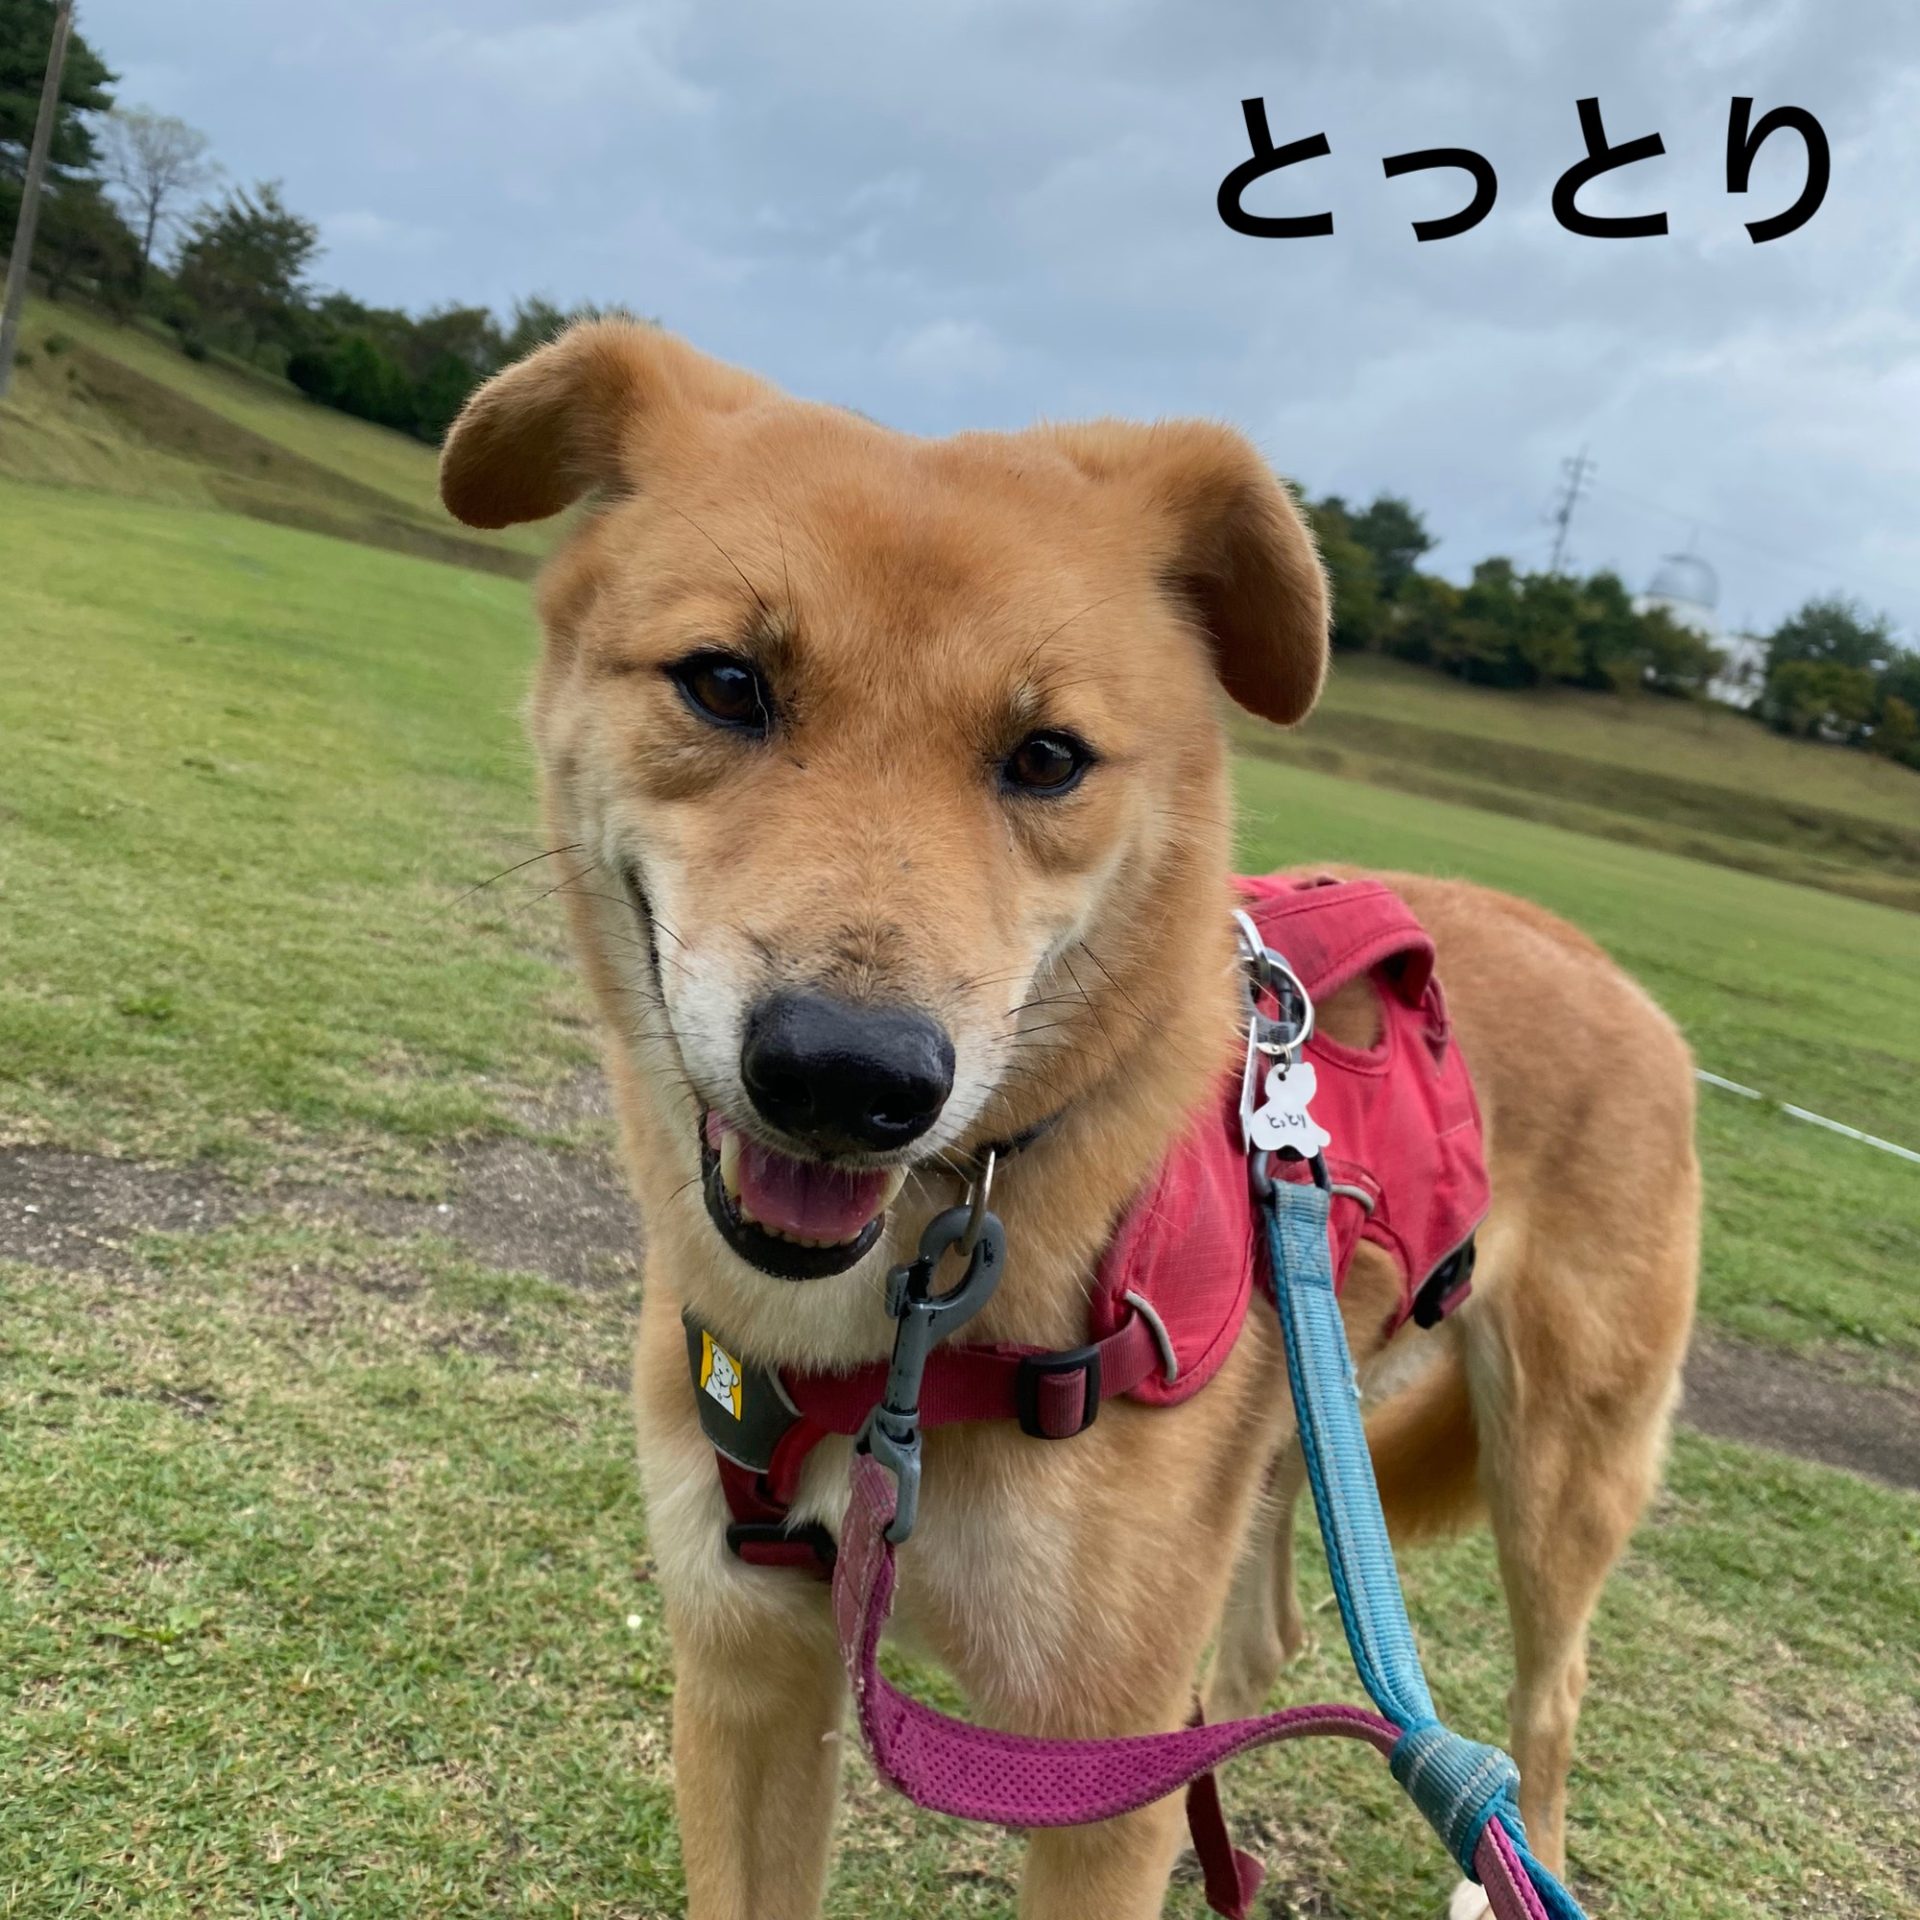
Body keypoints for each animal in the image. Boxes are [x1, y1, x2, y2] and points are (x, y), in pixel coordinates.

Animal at [439, 321, 1699, 1919]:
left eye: (1046, 757)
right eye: (724, 682)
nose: (848, 1076)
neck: (891, 1339)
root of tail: (1615, 972)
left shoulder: (1100, 1783)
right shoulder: (746, 1674)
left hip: (1559, 1466)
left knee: (1550, 1696)